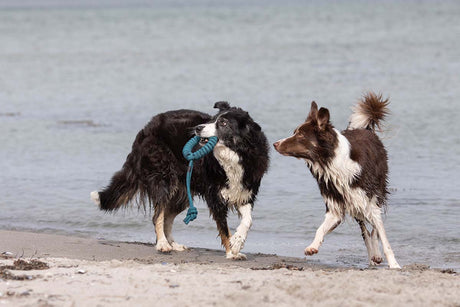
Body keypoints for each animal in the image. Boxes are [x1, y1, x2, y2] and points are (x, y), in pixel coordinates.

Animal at [90, 103, 270, 260]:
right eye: (211, 120)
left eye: (223, 123)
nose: (198, 128)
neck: (235, 155)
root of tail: (145, 129)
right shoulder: (215, 196)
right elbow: (224, 229)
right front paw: (231, 252)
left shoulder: (245, 191)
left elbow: (248, 221)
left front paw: (238, 242)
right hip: (164, 179)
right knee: (158, 215)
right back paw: (163, 244)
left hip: (182, 192)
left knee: (167, 216)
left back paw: (173, 244)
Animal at [274, 92, 400, 268]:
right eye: (295, 132)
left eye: (300, 135)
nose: (274, 144)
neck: (331, 163)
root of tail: (366, 130)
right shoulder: (335, 207)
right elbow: (320, 228)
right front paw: (313, 246)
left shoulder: (368, 202)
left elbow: (383, 238)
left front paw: (394, 264)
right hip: (355, 205)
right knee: (365, 231)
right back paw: (371, 256)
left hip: (376, 195)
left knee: (374, 228)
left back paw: (376, 254)